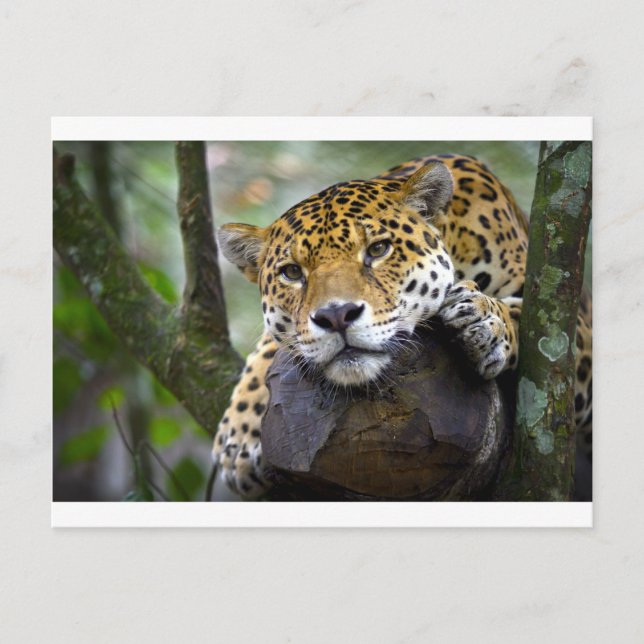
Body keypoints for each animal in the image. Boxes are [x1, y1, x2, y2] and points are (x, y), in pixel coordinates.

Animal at [212, 154, 592, 498]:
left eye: (378, 249)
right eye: (292, 272)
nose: (337, 315)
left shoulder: (570, 319)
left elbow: (541, 329)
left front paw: (487, 321)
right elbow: (270, 345)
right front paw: (240, 437)